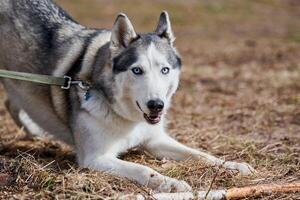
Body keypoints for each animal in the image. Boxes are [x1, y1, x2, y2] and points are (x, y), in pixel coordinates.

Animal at [0, 0, 253, 192]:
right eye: (137, 70)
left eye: (165, 70)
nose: (156, 105)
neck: (129, 119)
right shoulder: (96, 158)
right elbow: (144, 169)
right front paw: (171, 184)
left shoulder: (156, 140)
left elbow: (200, 154)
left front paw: (233, 165)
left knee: (12, 101)